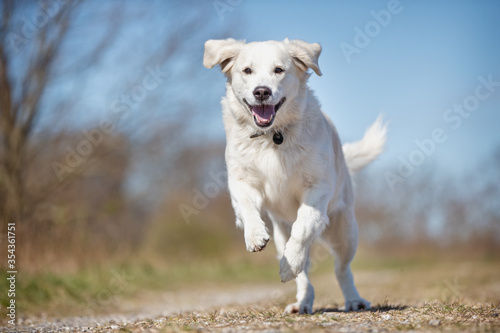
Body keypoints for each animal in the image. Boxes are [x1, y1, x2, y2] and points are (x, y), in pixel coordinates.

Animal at [203, 39, 386, 314]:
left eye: (279, 70)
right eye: (247, 70)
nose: (262, 92)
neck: (273, 136)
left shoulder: (317, 188)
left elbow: (303, 227)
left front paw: (292, 261)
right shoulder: (241, 181)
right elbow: (247, 207)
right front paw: (255, 235)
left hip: (345, 232)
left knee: (342, 269)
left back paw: (353, 299)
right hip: (282, 234)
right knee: (304, 276)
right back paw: (302, 301)